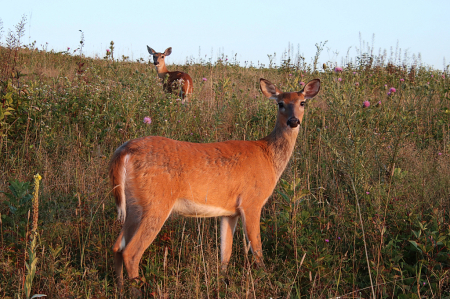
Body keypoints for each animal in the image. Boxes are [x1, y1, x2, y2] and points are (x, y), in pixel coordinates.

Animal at [109, 77, 320, 292]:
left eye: (302, 103)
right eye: (280, 103)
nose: (293, 121)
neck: (268, 156)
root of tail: (124, 150)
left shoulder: (229, 212)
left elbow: (225, 254)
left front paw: (223, 282)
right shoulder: (252, 202)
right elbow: (257, 249)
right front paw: (266, 279)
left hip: (135, 205)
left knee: (117, 247)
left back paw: (120, 288)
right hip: (156, 202)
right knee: (131, 252)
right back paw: (136, 290)